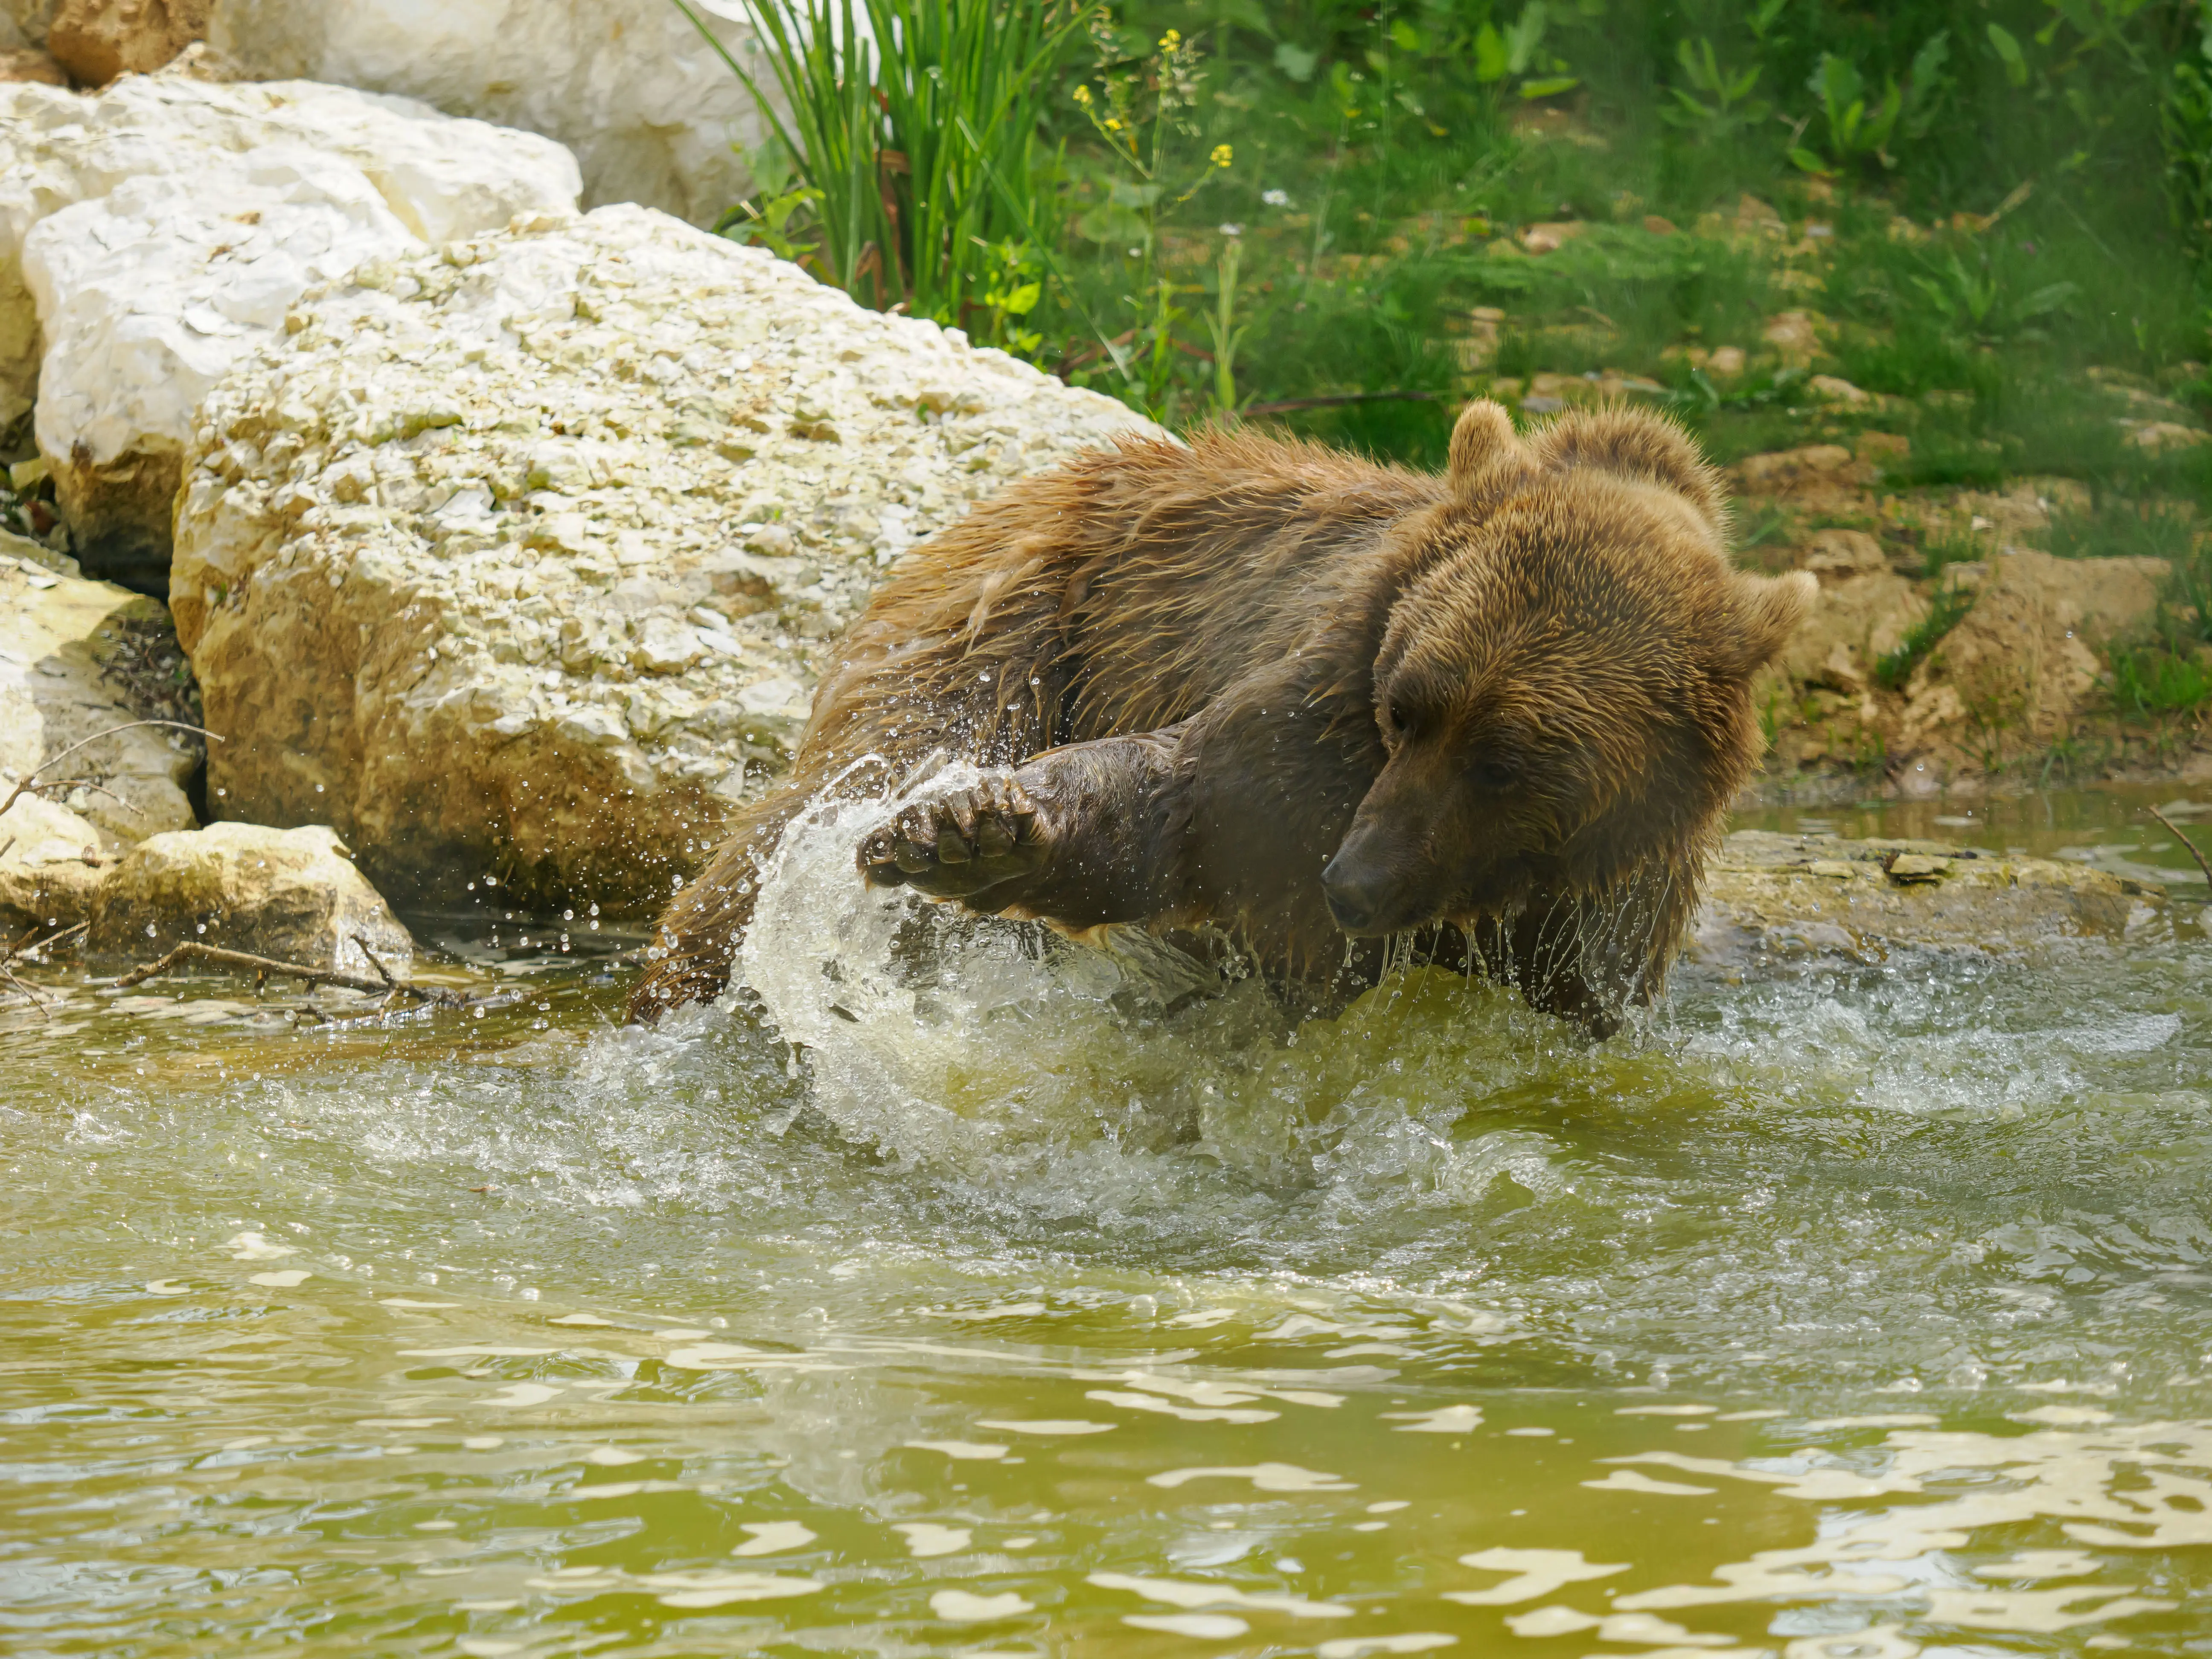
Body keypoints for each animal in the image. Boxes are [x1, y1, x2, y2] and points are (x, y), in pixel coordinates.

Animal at [627, 400, 1814, 1036]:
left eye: (1511, 759)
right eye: (1407, 709)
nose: (1357, 880)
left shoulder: (1607, 904)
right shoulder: (1315, 707)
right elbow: (1181, 805)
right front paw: (971, 831)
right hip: (1017, 627)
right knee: (821, 806)